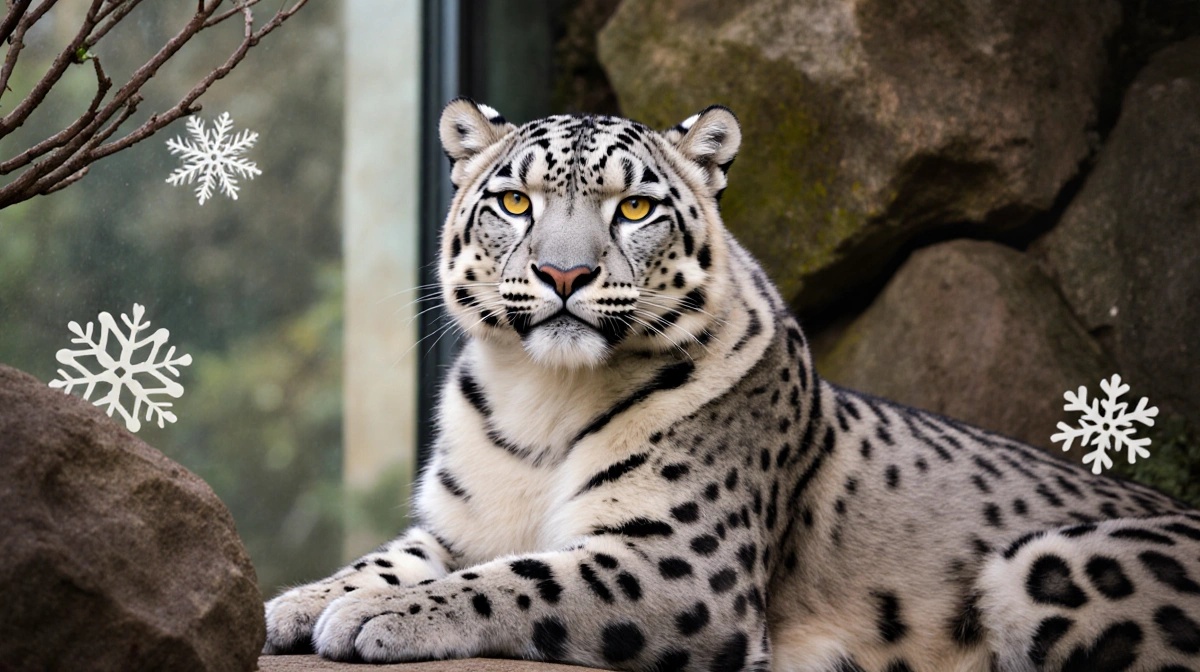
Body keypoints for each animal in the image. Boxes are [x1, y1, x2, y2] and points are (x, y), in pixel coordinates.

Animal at [262, 99, 1200, 671]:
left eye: (635, 208)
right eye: (515, 202)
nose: (564, 273)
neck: (541, 403)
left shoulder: (676, 560)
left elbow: (523, 579)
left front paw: (374, 617)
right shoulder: (457, 525)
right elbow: (389, 557)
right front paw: (301, 602)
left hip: (1049, 562)